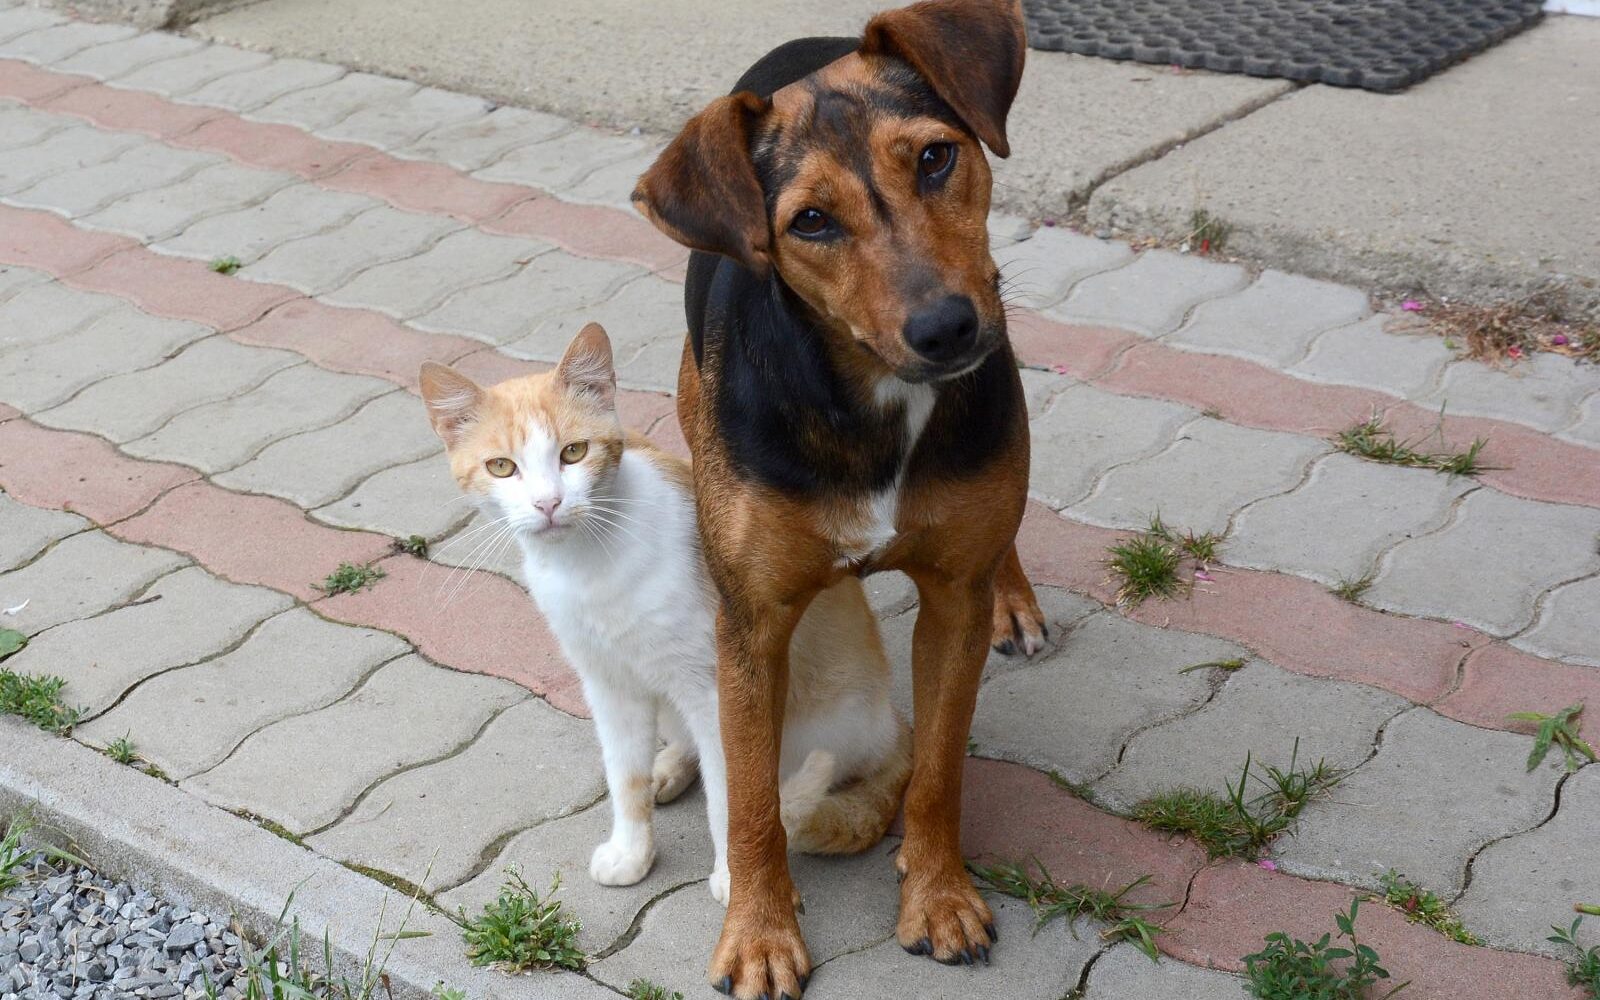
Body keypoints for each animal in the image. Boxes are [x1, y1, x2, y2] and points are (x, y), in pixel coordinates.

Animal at [419, 323, 912, 903]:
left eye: (573, 453)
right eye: (502, 467)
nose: (548, 504)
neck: (590, 565)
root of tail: (894, 725)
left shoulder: (718, 686)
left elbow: (731, 794)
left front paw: (738, 881)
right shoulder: (608, 685)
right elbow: (623, 778)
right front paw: (633, 851)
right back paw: (669, 768)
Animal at [632, 1, 1041, 995]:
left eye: (934, 157)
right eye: (810, 221)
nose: (946, 328)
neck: (872, 399)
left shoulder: (953, 603)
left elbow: (938, 771)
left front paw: (937, 896)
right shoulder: (753, 622)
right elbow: (750, 798)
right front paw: (759, 933)